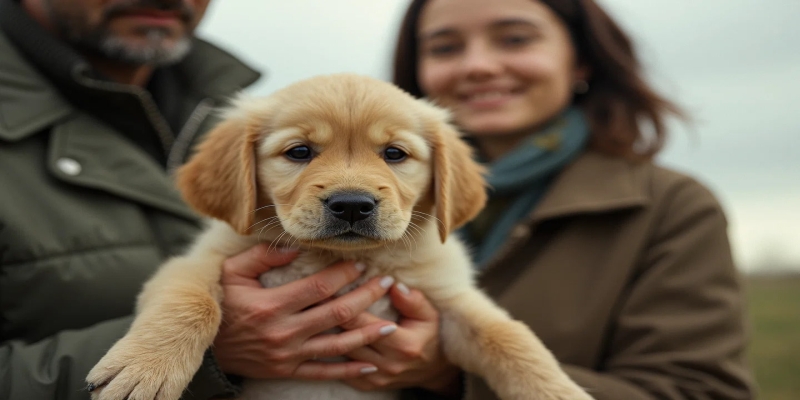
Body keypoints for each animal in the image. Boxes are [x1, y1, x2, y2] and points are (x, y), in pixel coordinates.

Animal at [86, 73, 592, 398]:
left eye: (394, 154)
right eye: (299, 152)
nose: (352, 204)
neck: (333, 258)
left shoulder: (448, 299)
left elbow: (508, 336)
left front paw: (558, 391)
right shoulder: (198, 262)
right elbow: (192, 302)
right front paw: (144, 368)